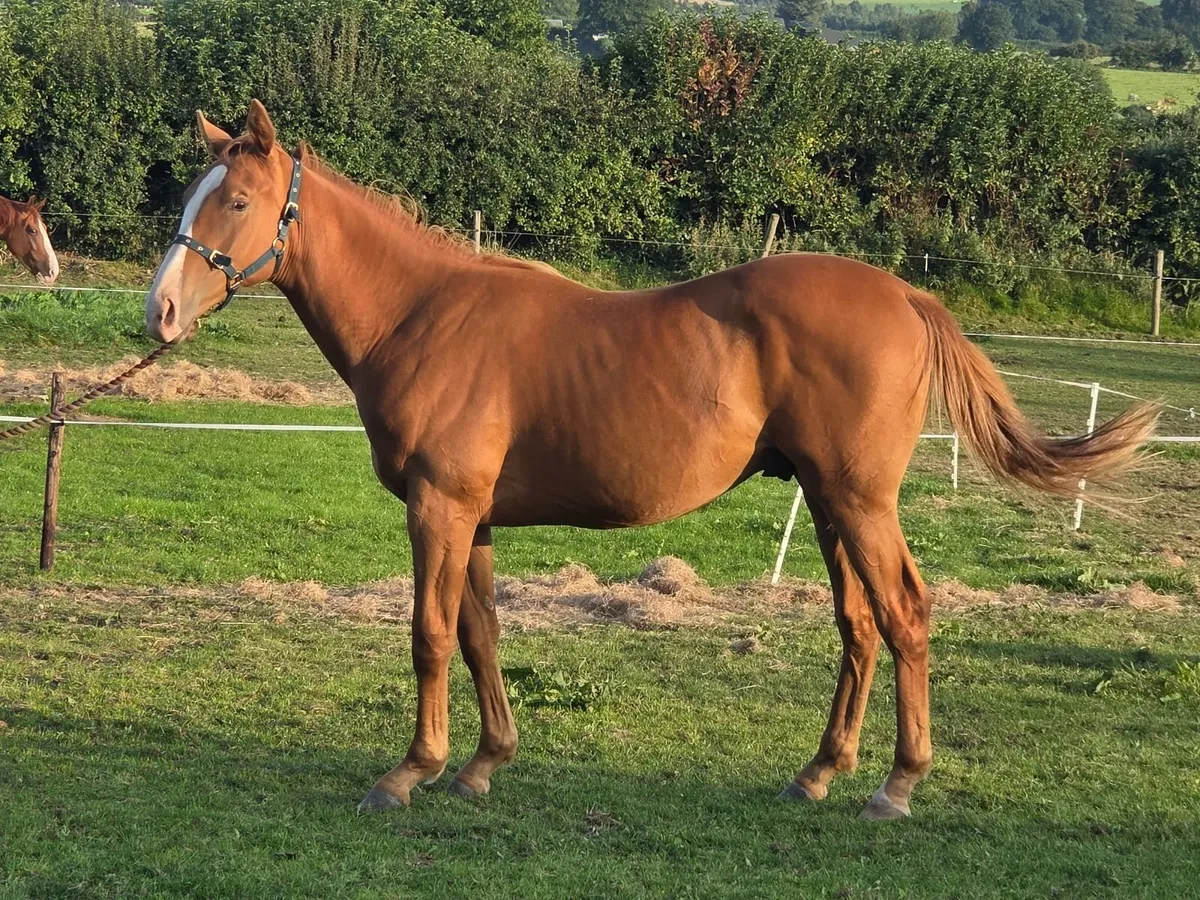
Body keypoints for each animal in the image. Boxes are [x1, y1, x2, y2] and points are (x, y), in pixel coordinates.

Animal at [144, 101, 1156, 821]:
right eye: (194, 196)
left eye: (236, 201)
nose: (160, 312)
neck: (422, 314)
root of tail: (907, 294)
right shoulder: (472, 518)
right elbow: (480, 634)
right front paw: (482, 764)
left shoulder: (438, 507)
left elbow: (430, 635)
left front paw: (409, 771)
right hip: (830, 504)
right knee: (859, 626)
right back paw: (820, 771)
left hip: (862, 501)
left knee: (905, 615)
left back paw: (896, 785)